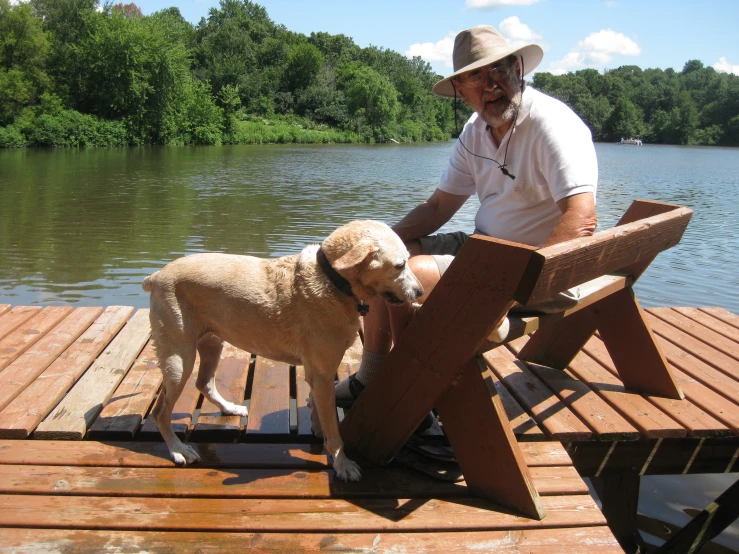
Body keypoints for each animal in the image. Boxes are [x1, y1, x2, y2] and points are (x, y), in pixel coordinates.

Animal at [143, 220, 422, 478]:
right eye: (400, 265)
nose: (420, 292)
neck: (333, 280)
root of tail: (156, 276)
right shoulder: (321, 374)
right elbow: (333, 427)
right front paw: (342, 463)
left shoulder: (320, 375)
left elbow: (320, 412)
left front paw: (318, 431)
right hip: (180, 358)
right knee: (160, 411)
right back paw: (178, 449)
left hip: (212, 343)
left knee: (204, 383)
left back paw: (229, 408)